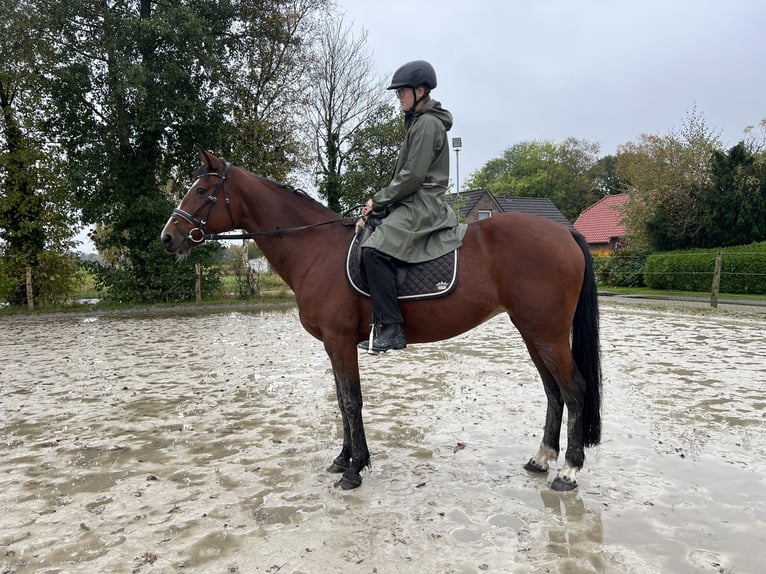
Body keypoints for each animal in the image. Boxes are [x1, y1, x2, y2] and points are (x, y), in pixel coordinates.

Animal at [162, 146, 604, 492]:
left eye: (201, 191)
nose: (168, 237)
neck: (315, 248)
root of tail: (564, 234)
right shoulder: (333, 344)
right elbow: (342, 400)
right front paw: (343, 459)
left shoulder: (340, 340)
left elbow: (351, 400)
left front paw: (355, 469)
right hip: (532, 331)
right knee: (553, 391)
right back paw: (542, 458)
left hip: (547, 333)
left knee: (574, 389)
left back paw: (568, 470)